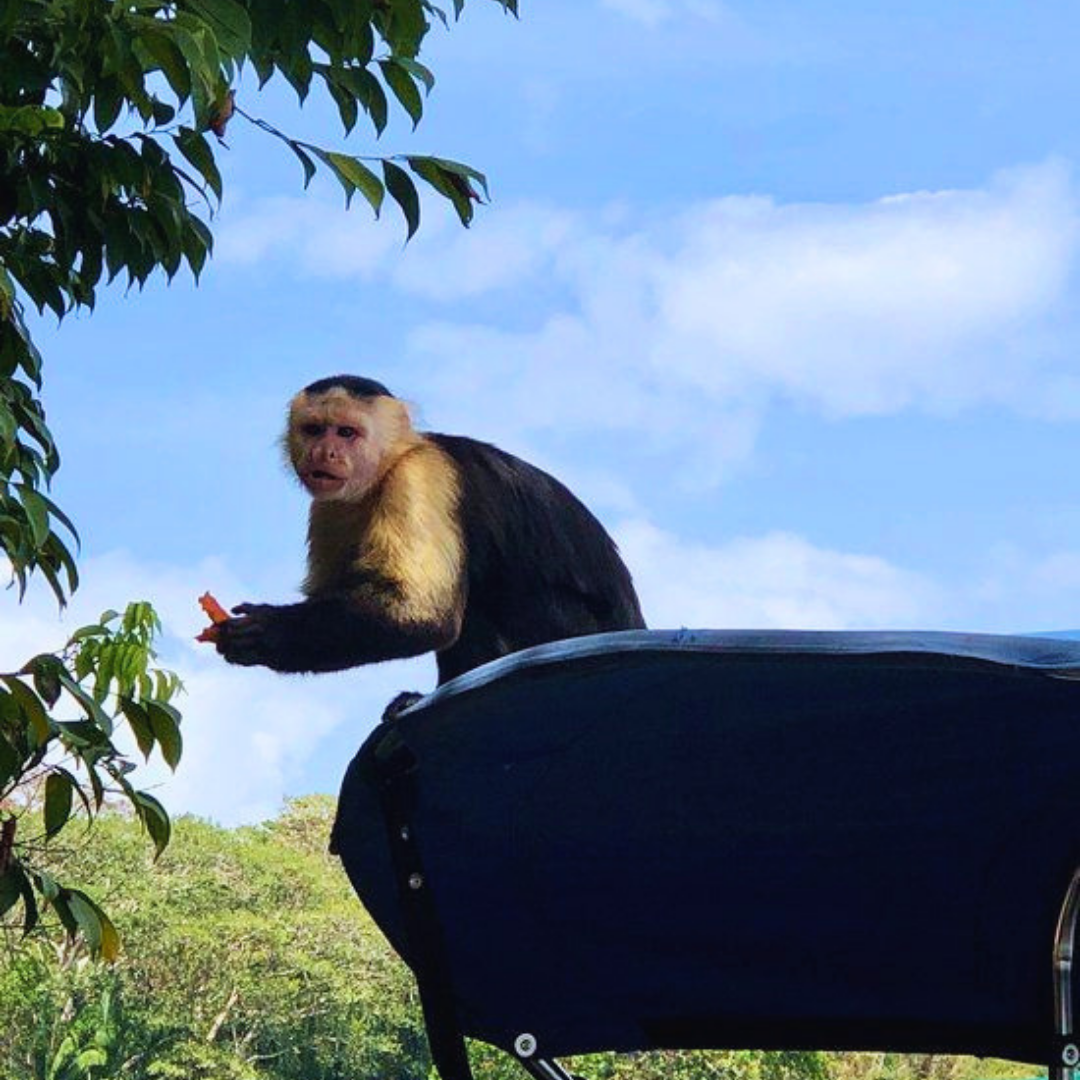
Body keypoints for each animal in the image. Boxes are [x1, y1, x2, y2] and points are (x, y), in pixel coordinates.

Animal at [213, 375, 646, 686]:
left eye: (347, 433)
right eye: (315, 430)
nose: (326, 452)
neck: (386, 467)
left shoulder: (420, 477)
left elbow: (422, 615)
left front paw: (266, 631)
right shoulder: (329, 504)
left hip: (568, 628)